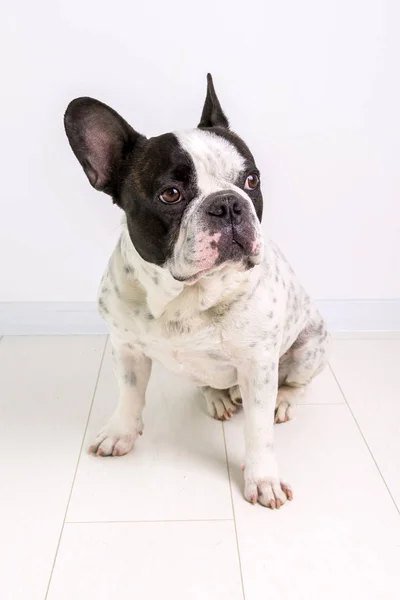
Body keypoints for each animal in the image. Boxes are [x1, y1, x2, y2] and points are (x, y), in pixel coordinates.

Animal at [64, 72, 330, 508]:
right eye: (170, 194)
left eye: (252, 180)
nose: (229, 204)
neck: (185, 296)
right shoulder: (126, 348)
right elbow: (129, 393)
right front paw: (121, 432)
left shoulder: (258, 366)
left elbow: (258, 431)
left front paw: (263, 479)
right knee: (210, 384)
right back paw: (218, 397)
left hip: (309, 346)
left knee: (298, 381)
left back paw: (284, 400)